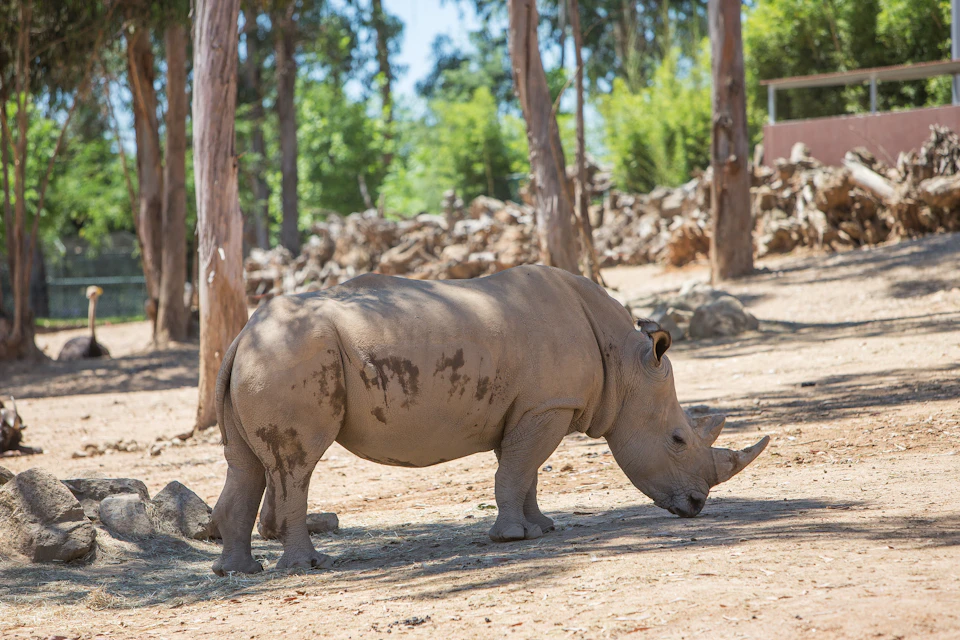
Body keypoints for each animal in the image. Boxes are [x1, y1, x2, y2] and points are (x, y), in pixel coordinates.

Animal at [211, 265, 768, 575]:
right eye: (677, 439)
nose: (697, 506)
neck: (625, 361)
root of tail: (242, 334)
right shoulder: (548, 406)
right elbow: (516, 471)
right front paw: (512, 539)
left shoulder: (531, 409)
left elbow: (524, 472)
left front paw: (541, 529)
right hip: (292, 355)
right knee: (297, 465)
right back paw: (307, 567)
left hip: (265, 356)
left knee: (246, 464)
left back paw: (236, 571)